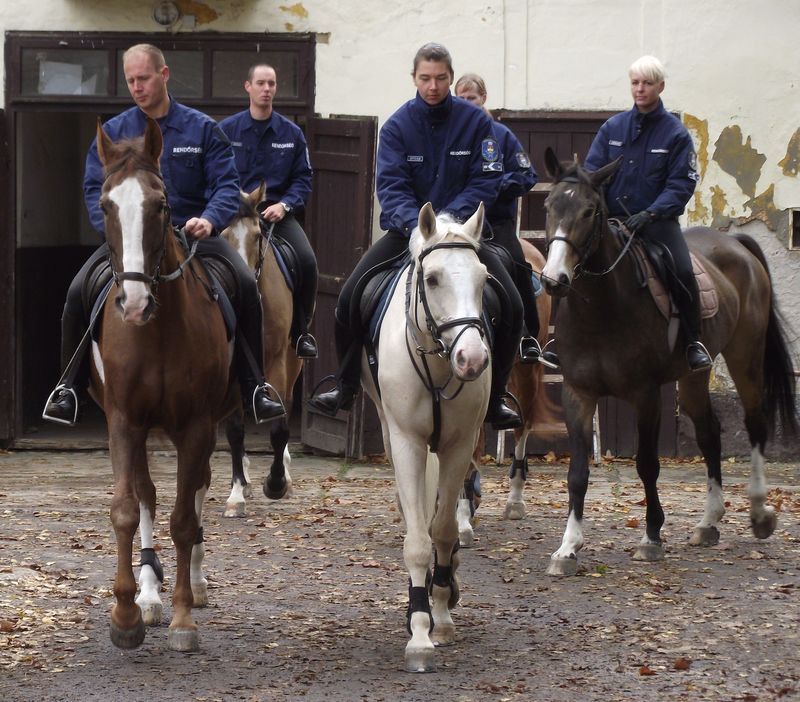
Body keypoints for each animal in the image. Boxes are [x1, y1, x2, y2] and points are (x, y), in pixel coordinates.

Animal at [90, 117, 237, 651]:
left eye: (162, 205)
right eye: (105, 205)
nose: (133, 303)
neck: (155, 330)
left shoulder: (196, 426)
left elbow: (183, 520)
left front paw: (183, 618)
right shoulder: (124, 421)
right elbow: (127, 509)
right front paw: (127, 614)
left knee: (195, 494)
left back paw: (191, 583)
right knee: (149, 493)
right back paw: (150, 595)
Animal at [360, 202, 491, 672]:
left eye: (484, 278)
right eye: (432, 278)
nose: (472, 359)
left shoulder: (458, 444)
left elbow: (444, 531)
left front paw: (441, 613)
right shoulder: (406, 442)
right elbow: (418, 540)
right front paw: (418, 631)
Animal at [540, 146, 798, 576]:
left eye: (590, 211)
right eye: (549, 206)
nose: (554, 279)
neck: (602, 308)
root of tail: (736, 244)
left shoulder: (645, 395)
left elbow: (647, 464)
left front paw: (651, 537)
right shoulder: (578, 393)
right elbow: (576, 473)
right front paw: (567, 548)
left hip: (745, 356)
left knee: (755, 422)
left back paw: (760, 514)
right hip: (694, 378)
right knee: (710, 432)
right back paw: (709, 522)